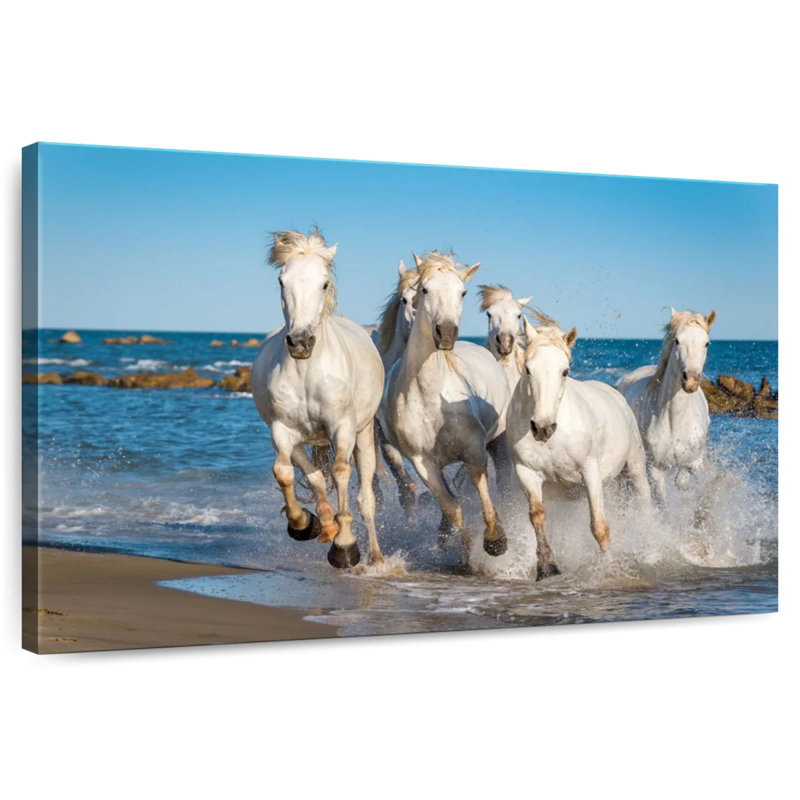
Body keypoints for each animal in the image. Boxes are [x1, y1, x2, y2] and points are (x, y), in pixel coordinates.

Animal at [251, 229, 385, 568]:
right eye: (281, 281)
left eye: (323, 283)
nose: (300, 342)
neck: (307, 372)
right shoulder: (282, 430)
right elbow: (286, 473)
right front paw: (304, 524)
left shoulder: (343, 428)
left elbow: (340, 473)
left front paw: (345, 547)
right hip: (303, 440)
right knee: (314, 478)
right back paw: (325, 524)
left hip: (364, 435)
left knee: (366, 498)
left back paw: (376, 557)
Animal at [378, 250, 512, 562]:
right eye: (425, 290)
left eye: (462, 292)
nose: (446, 333)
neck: (431, 396)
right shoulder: (423, 463)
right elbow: (452, 507)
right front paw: (465, 553)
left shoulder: (474, 448)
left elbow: (480, 484)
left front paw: (495, 540)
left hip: (499, 441)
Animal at [506, 314, 651, 579]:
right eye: (528, 369)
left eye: (565, 371)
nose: (542, 427)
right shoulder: (527, 472)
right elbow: (537, 516)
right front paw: (546, 567)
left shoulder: (589, 470)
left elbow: (599, 526)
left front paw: (605, 568)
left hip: (635, 467)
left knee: (644, 503)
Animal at [617, 307, 717, 505]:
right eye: (677, 340)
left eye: (707, 343)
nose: (691, 381)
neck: (675, 420)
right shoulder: (655, 470)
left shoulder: (696, 463)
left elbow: (694, 486)